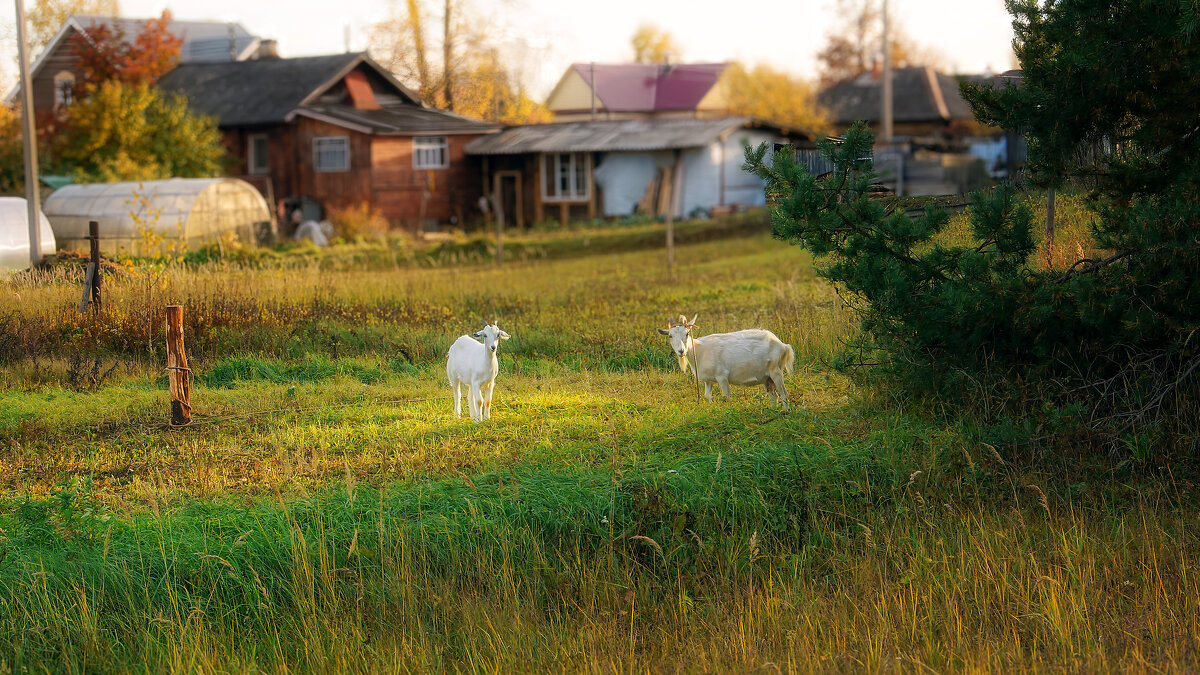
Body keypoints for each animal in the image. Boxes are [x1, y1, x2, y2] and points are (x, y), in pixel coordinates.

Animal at [657, 314, 796, 403]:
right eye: (670, 336)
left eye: (686, 333)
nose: (681, 351)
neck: (700, 351)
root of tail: (783, 345)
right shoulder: (708, 381)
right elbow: (707, 398)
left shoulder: (722, 376)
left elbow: (726, 398)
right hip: (767, 377)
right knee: (774, 396)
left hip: (776, 371)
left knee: (784, 394)